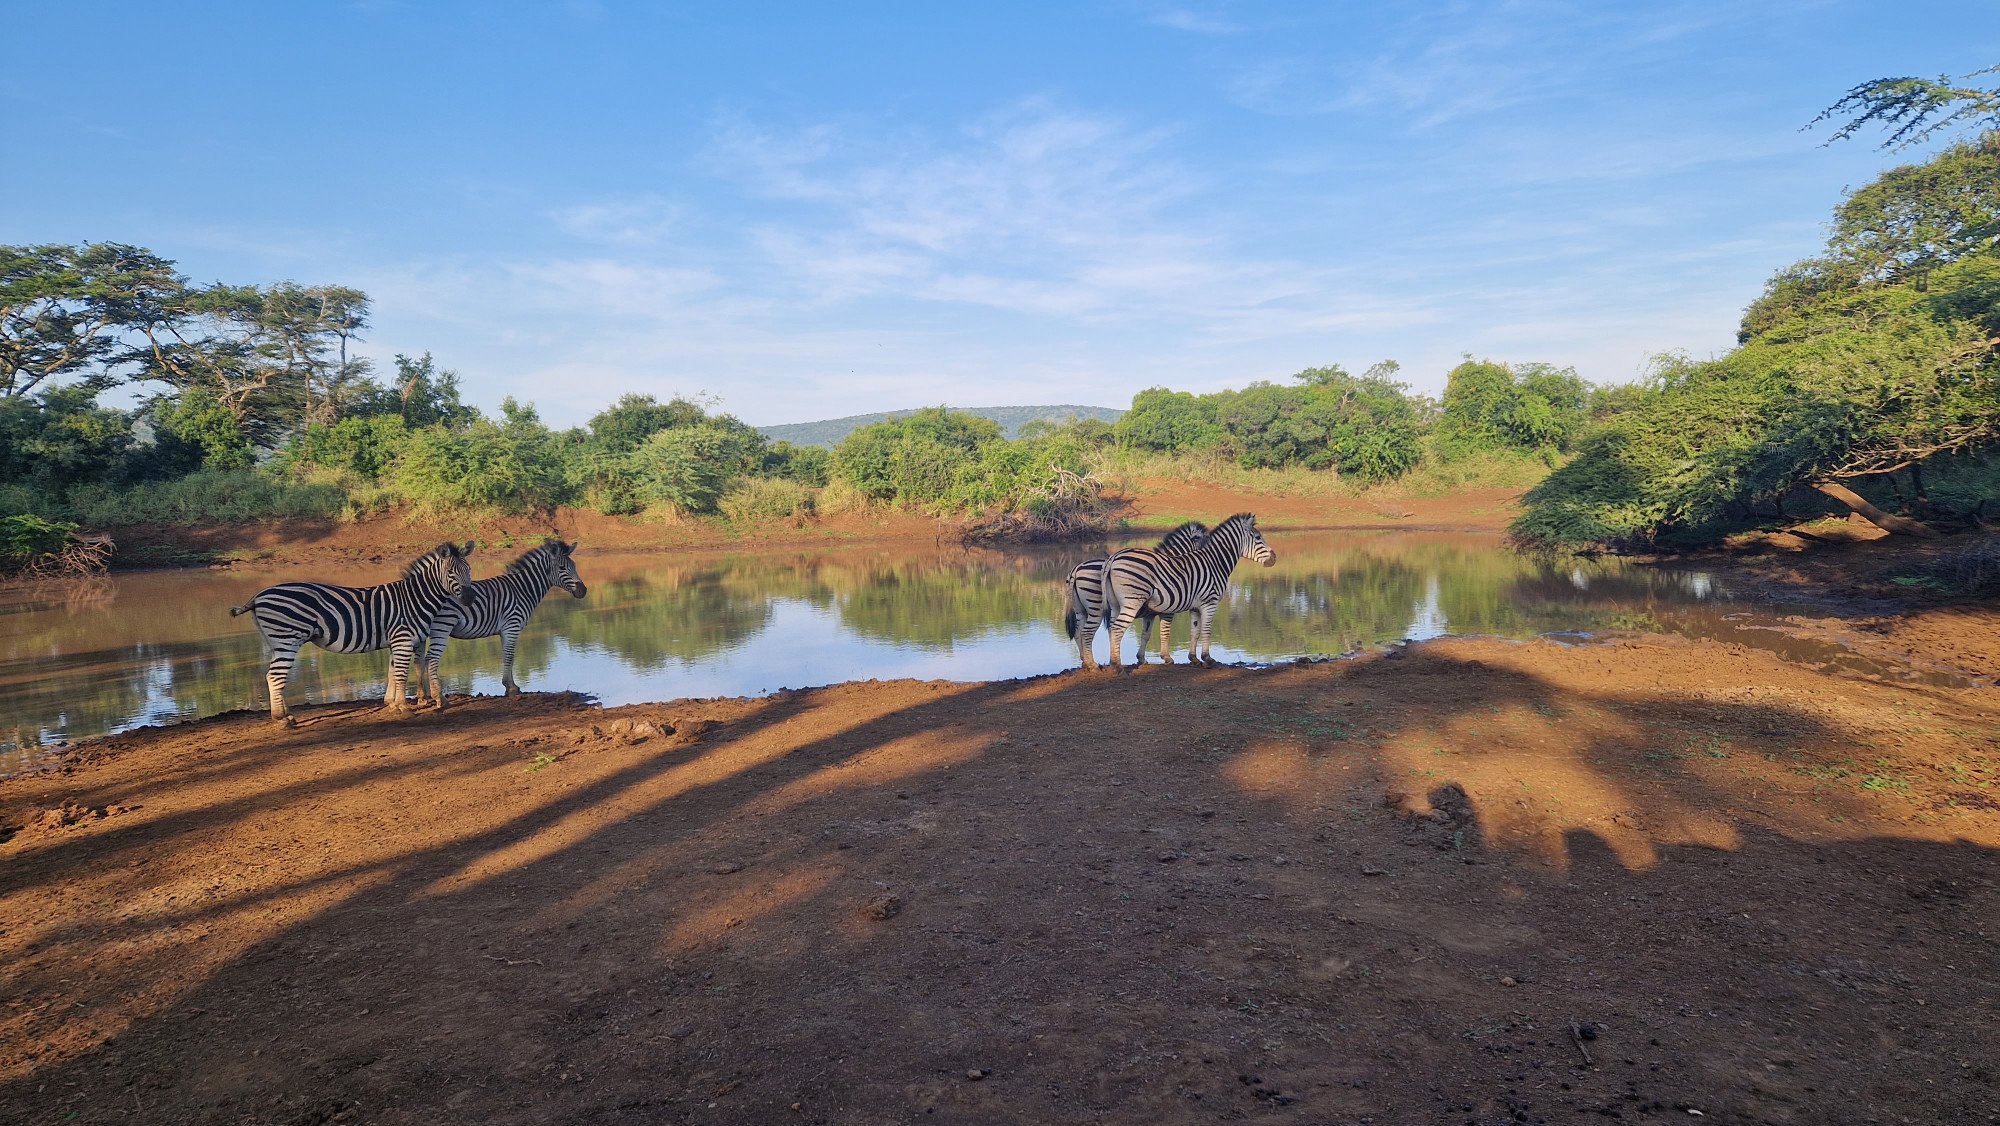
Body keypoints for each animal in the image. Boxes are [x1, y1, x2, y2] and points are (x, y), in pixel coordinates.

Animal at [229, 542, 475, 726]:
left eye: (469, 570)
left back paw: (286, 713)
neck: (415, 598)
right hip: (287, 639)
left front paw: (393, 704)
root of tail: (258, 596)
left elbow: (392, 673)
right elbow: (401, 675)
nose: (469, 599)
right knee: (274, 676)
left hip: (276, 642)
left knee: (276, 675)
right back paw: (281, 719)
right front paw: (404, 708)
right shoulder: (403, 640)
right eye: (451, 572)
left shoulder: (396, 642)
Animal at [411, 539, 588, 704]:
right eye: (562, 568)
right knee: (430, 659)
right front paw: (511, 688)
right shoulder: (512, 626)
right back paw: (439, 698)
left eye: (574, 566)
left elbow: (508, 656)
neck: (522, 589)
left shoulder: (505, 630)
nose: (583, 591)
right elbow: (509, 656)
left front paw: (511, 685)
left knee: (419, 661)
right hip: (442, 626)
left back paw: (422, 697)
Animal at [1062, 521, 1208, 670]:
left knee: (1078, 632)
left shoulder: (1150, 613)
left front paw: (1141, 659)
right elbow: (1165, 632)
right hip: (1095, 607)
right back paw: (1092, 664)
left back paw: (1084, 661)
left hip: (1081, 610)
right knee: (1086, 632)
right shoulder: (1168, 610)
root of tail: (1076, 569)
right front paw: (1166, 658)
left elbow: (1146, 634)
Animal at [1101, 512, 1275, 669]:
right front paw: (1207, 659)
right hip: (1132, 602)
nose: (1274, 558)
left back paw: (1111, 662)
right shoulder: (1208, 603)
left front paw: (1193, 658)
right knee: (1117, 628)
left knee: (1112, 628)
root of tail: (1113, 558)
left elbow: (1194, 631)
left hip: (1115, 605)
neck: (1215, 562)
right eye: (1258, 538)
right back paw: (1117, 665)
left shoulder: (1194, 607)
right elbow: (1203, 630)